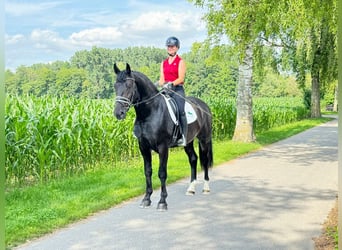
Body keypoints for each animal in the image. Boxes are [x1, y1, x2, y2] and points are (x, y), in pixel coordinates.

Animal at [113, 63, 212, 210]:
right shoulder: (143, 147)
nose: (118, 113)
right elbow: (148, 171)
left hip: (204, 139)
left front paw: (162, 201)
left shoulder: (163, 147)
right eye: (115, 86)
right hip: (188, 142)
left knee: (205, 161)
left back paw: (206, 188)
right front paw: (146, 199)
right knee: (193, 159)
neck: (150, 113)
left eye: (129, 85)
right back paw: (191, 189)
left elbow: (162, 173)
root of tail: (204, 106)